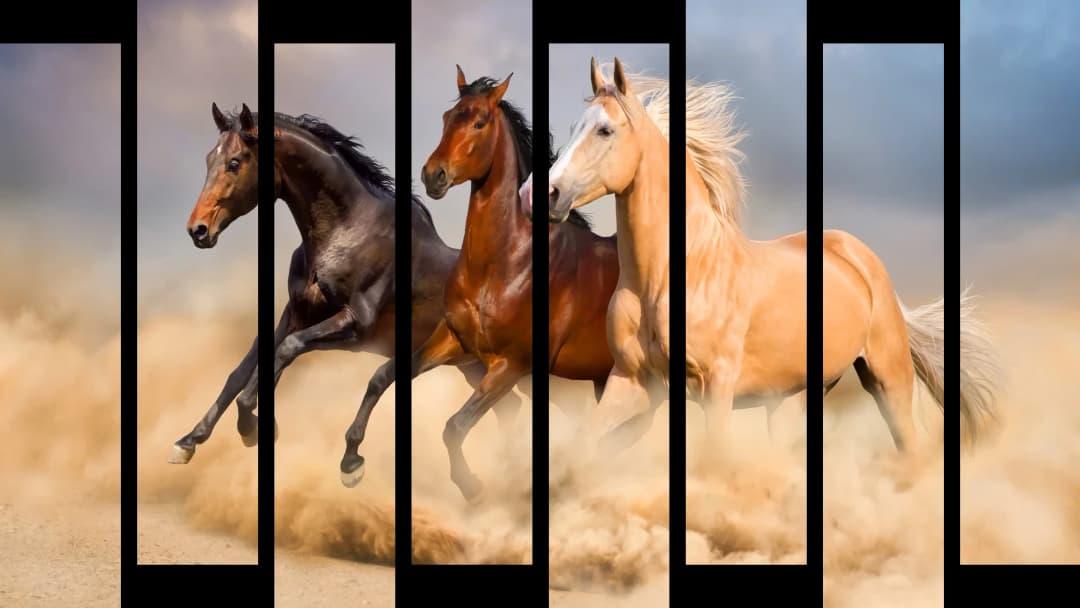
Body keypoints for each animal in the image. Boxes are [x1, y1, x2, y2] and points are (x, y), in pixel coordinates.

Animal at [171, 103, 522, 488]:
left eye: (235, 162)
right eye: (209, 159)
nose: (197, 230)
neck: (346, 231)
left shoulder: (353, 325)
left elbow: (286, 351)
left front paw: (254, 427)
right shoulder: (296, 314)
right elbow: (246, 368)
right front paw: (189, 441)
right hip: (472, 366)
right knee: (509, 408)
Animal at [349, 66, 619, 503]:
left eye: (479, 122)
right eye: (447, 117)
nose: (433, 175)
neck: (506, 266)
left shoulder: (510, 366)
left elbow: (455, 426)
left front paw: (472, 486)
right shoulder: (454, 340)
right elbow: (383, 376)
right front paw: (350, 461)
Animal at [546, 57, 999, 455]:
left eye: (605, 130)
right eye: (573, 127)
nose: (549, 193)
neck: (672, 275)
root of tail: (864, 261)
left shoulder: (716, 384)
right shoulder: (631, 380)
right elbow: (584, 445)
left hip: (888, 378)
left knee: (911, 447)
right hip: (794, 397)